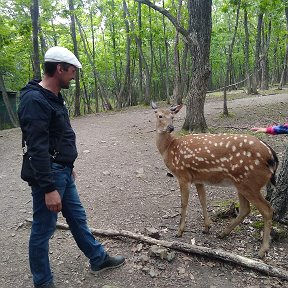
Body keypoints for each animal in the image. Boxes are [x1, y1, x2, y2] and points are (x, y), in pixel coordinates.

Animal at [152, 102, 278, 258]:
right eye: (159, 115)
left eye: (172, 116)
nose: (170, 127)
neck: (169, 148)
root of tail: (272, 155)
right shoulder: (198, 178)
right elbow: (203, 200)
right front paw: (207, 227)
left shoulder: (183, 174)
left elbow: (184, 203)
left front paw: (179, 231)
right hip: (242, 183)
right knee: (245, 209)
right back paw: (223, 233)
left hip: (250, 182)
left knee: (267, 209)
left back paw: (262, 250)